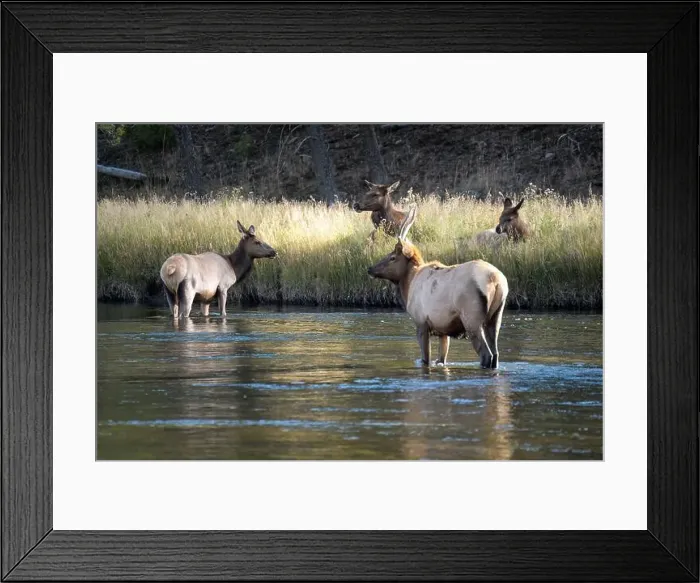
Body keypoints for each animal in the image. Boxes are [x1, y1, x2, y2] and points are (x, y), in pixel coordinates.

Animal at [367, 206, 509, 369]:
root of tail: (496, 280)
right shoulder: (443, 330)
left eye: (392, 257)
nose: (370, 269)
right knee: (496, 353)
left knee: (486, 354)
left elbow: (425, 359)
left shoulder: (421, 322)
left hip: (472, 318)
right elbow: (441, 358)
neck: (408, 285)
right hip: (496, 316)